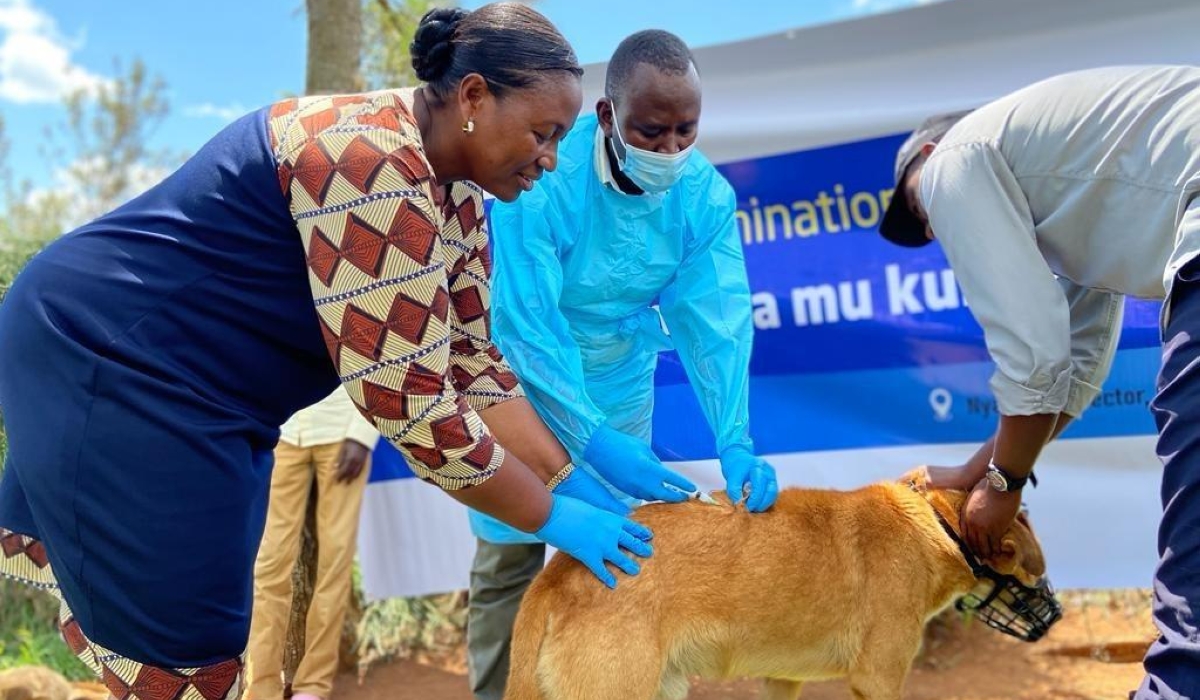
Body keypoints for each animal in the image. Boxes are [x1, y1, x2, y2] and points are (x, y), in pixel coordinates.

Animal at [504, 470, 1051, 700]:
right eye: (1033, 575)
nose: (1053, 616)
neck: (935, 521)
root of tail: (561, 570)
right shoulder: (879, 681)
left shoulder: (782, 679)